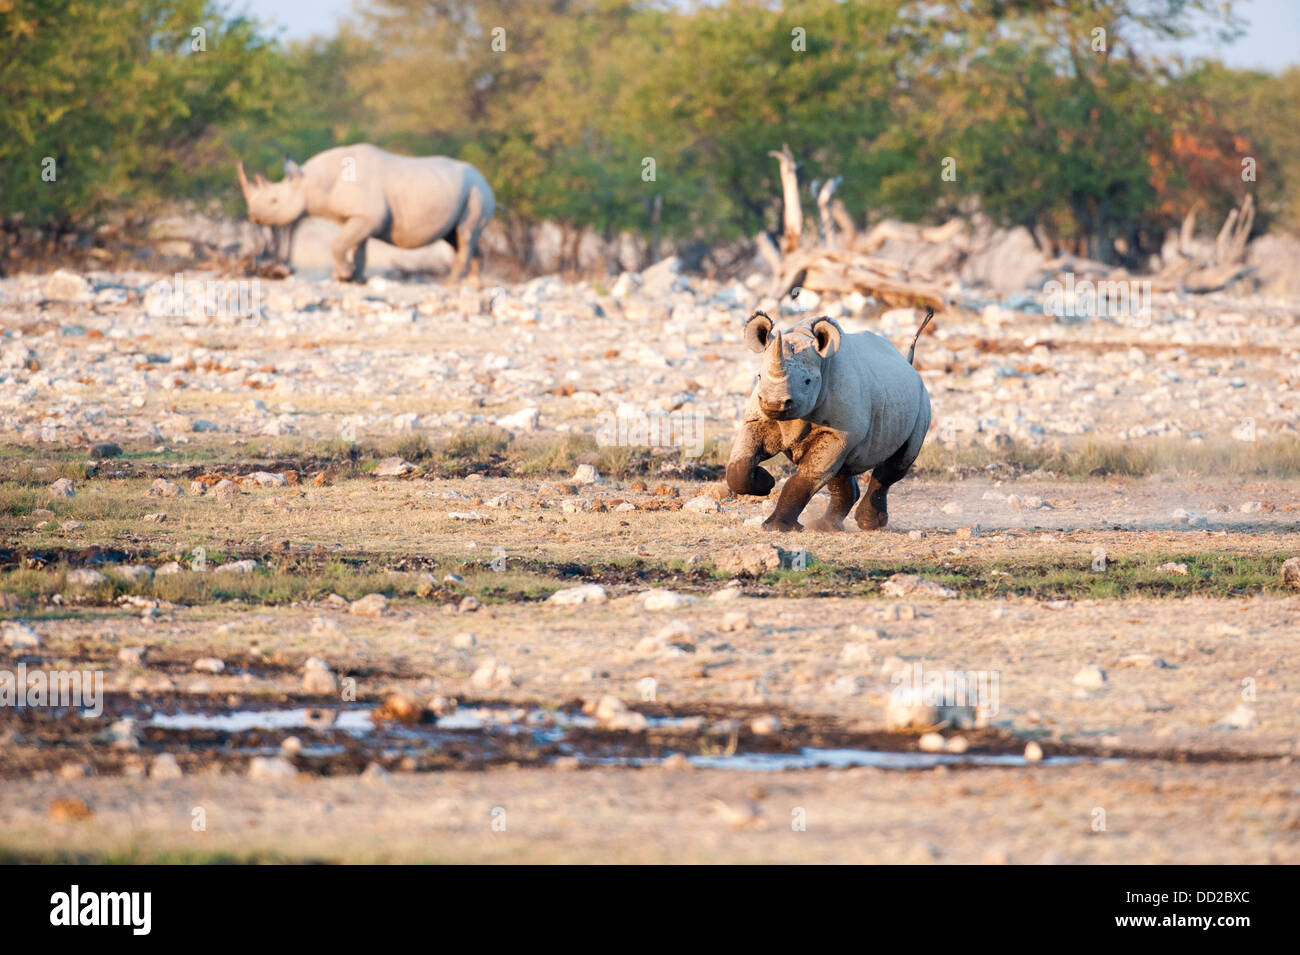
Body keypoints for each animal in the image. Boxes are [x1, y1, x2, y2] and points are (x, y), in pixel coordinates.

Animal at [236, 141, 493, 283]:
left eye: (274, 200)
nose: (253, 216)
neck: (311, 181)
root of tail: (484, 179)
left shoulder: (369, 217)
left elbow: (339, 245)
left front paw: (344, 275)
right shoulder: (358, 217)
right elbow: (358, 248)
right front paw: (354, 278)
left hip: (478, 190)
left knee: (465, 233)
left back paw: (450, 284)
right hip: (467, 190)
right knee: (457, 236)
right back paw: (474, 283)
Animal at [722, 307, 935, 535]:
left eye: (807, 381)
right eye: (759, 376)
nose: (774, 403)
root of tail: (908, 364)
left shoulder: (838, 434)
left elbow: (806, 477)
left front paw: (776, 527)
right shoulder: (758, 420)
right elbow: (739, 466)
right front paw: (765, 481)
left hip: (922, 401)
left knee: (896, 464)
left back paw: (868, 524)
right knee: (841, 469)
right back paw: (828, 526)